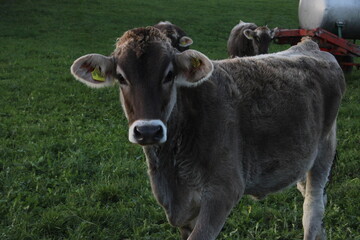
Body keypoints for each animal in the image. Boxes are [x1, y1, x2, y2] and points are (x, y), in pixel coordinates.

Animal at [69, 26, 346, 240]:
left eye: (169, 75)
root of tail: (309, 44)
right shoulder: (181, 206)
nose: (148, 130)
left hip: (324, 149)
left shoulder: (223, 191)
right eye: (121, 77)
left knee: (312, 208)